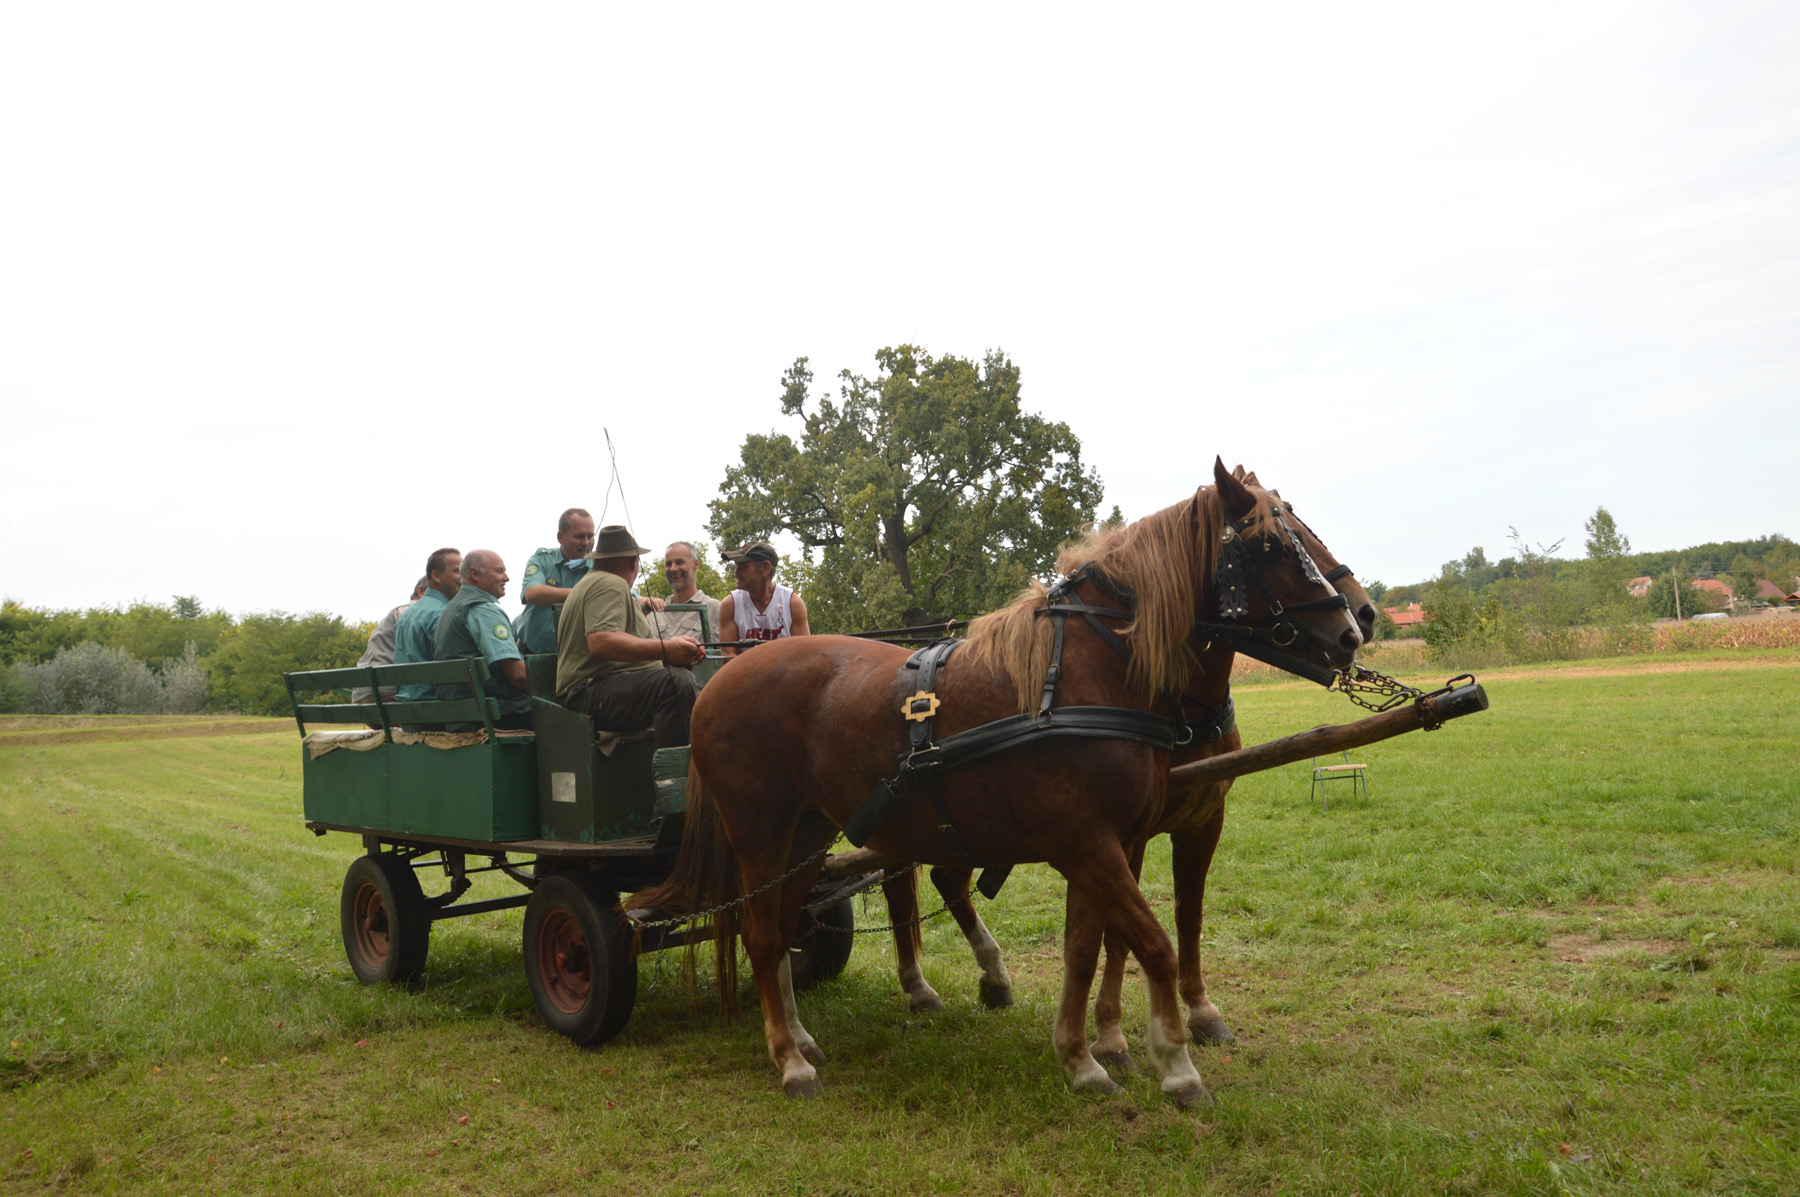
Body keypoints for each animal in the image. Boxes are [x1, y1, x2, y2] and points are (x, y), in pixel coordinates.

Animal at [636, 459, 1365, 1102]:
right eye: (1271, 543)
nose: (1354, 627)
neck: (1091, 673)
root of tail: (720, 678)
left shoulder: (1102, 846)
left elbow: (1086, 949)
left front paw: (1083, 1058)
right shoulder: (1093, 844)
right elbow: (1153, 942)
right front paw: (1175, 1064)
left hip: (808, 837)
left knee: (787, 925)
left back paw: (805, 1035)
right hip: (761, 835)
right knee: (760, 934)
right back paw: (790, 1061)